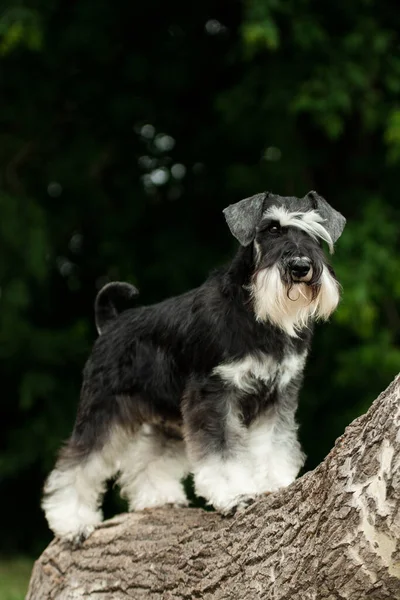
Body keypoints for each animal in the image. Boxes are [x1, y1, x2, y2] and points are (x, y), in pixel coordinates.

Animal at [42, 190, 346, 540]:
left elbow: (273, 443)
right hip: (103, 410)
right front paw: (236, 493)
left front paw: (275, 482)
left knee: (148, 457)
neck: (258, 315)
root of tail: (110, 324)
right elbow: (222, 452)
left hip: (167, 418)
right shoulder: (214, 395)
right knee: (77, 463)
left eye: (316, 234)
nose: (301, 267)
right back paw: (72, 522)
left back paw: (158, 496)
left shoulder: (278, 395)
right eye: (271, 229)